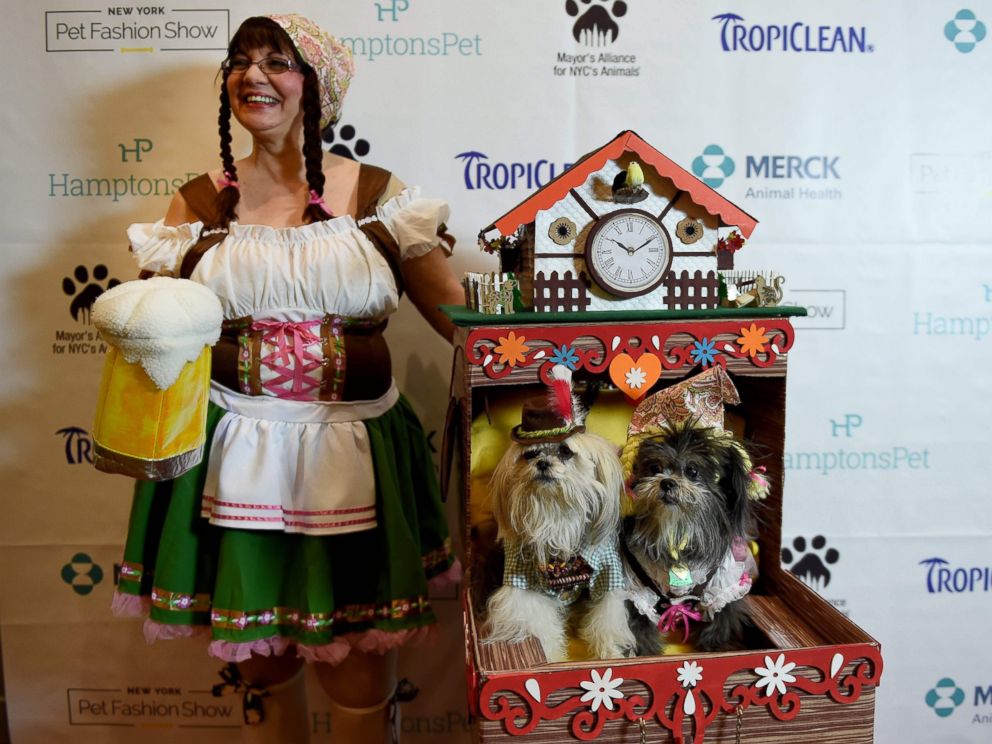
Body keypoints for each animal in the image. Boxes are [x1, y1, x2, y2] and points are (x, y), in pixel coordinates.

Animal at [482, 366, 636, 664]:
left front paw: (610, 652)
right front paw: (551, 656)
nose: (543, 463)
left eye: (565, 451)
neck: (556, 516)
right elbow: (537, 626)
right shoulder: (522, 584)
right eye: (530, 454)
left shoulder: (607, 575)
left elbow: (607, 618)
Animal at [620, 370, 768, 652]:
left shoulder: (725, 583)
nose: (667, 483)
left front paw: (715, 647)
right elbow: (639, 620)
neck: (677, 530)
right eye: (655, 467)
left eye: (692, 470)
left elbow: (723, 615)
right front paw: (646, 650)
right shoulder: (636, 588)